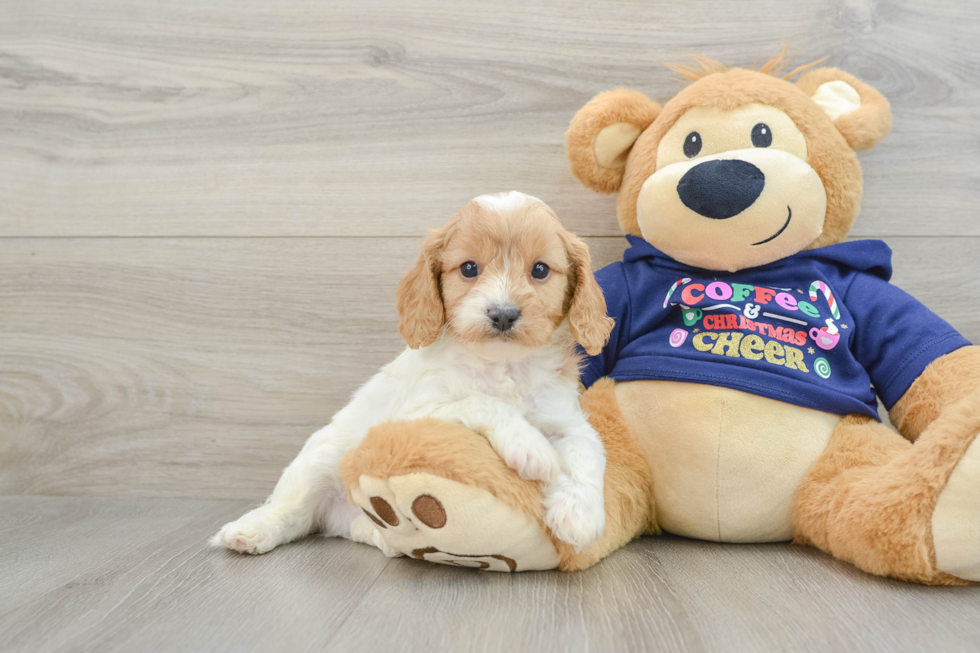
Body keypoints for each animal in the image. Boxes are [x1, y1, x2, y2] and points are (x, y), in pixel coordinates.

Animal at [214, 192, 612, 556]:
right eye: (469, 268)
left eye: (540, 270)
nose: (503, 314)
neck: (502, 365)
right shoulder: (412, 414)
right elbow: (482, 402)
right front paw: (531, 447)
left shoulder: (566, 417)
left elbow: (586, 451)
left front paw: (580, 517)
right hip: (319, 458)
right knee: (292, 512)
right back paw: (250, 531)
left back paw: (383, 535)